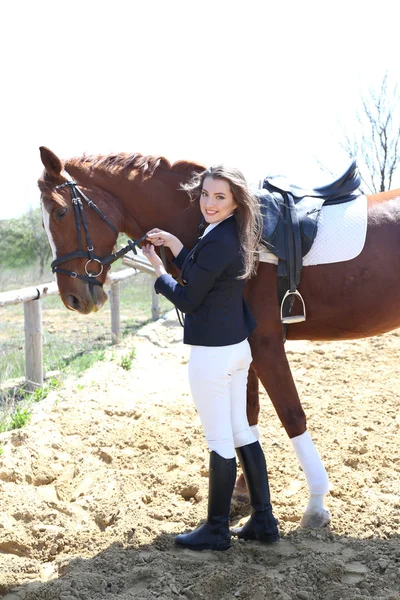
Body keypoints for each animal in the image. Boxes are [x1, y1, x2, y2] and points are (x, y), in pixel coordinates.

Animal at [38, 148, 400, 528]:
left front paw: (315, 505)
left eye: (60, 212)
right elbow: (248, 416)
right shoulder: (246, 344)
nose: (73, 298)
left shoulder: (266, 343)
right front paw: (244, 492)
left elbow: (291, 415)